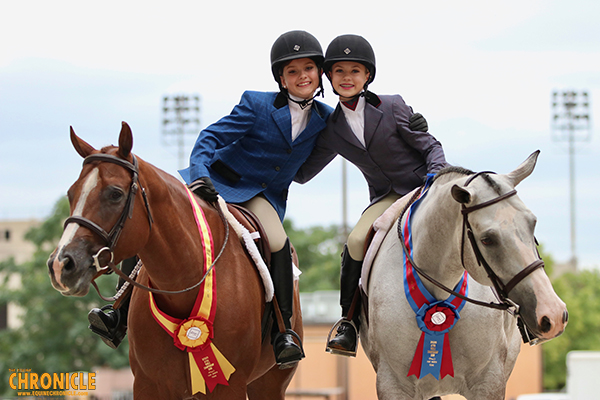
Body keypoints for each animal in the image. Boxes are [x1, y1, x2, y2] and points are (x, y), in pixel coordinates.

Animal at [47, 122, 302, 400]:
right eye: (71, 193)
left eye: (115, 194)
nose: (61, 265)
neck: (183, 284)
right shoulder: (147, 384)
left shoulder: (228, 386)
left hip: (269, 384)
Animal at [358, 152, 568, 398]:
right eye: (487, 239)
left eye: (532, 224)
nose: (553, 314)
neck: (440, 292)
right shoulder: (393, 384)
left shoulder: (489, 382)